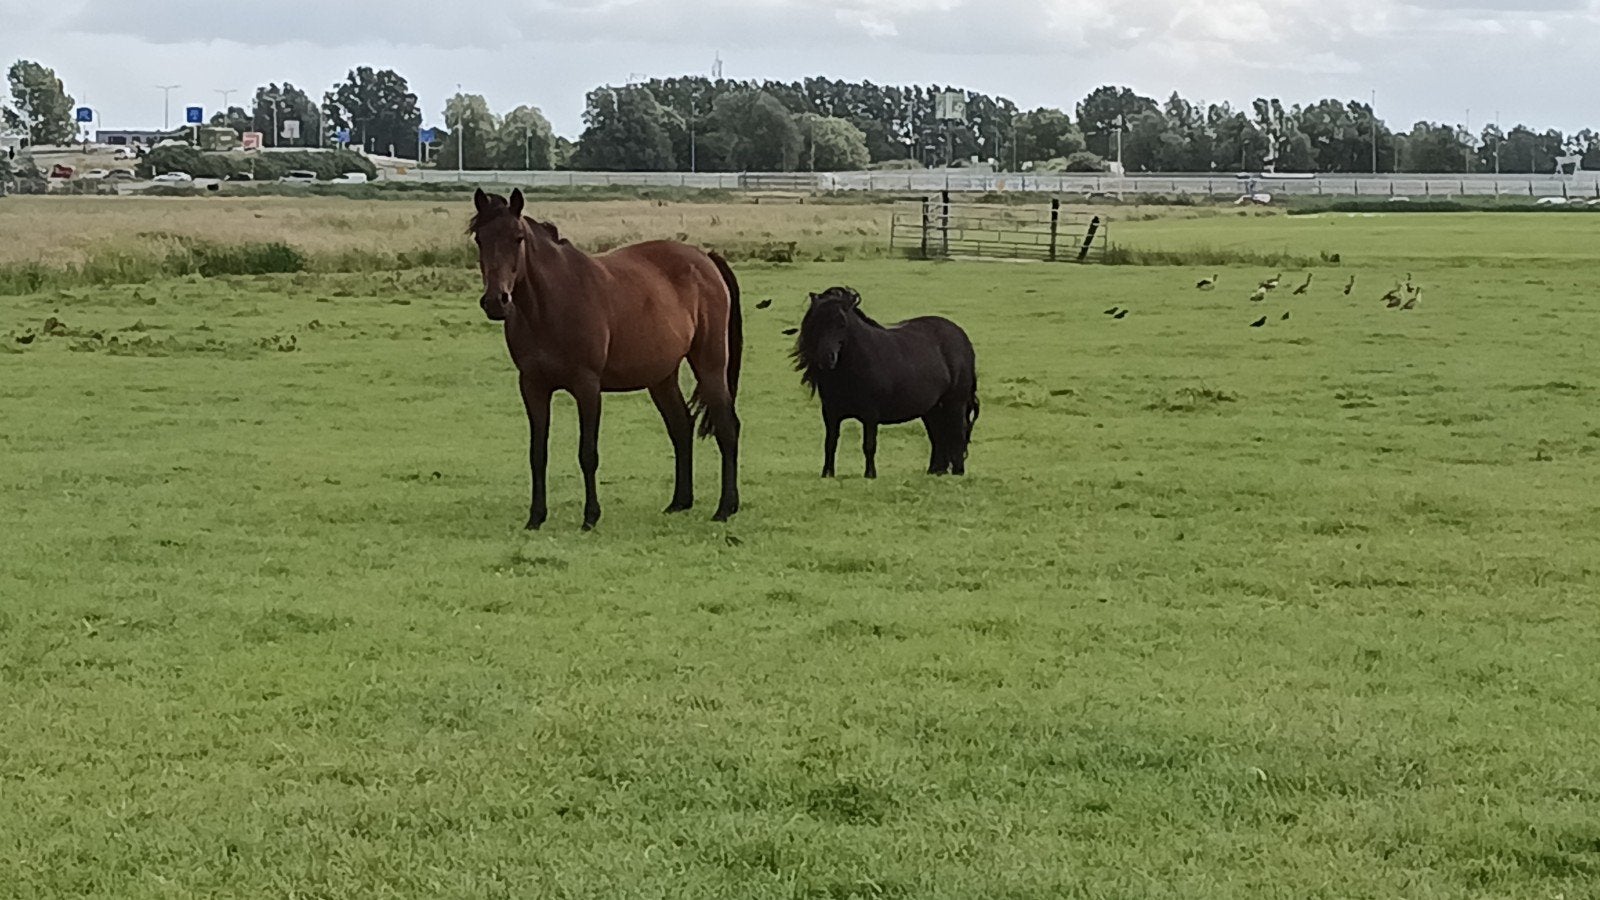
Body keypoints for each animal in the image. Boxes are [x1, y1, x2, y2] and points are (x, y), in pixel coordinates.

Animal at [468, 188, 742, 530]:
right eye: (480, 239)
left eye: (517, 237)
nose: (496, 301)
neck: (551, 304)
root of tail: (705, 259)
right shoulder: (532, 387)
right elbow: (537, 454)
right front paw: (536, 517)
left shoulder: (587, 386)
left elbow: (588, 453)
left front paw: (590, 516)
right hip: (661, 377)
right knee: (681, 426)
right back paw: (680, 502)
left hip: (710, 364)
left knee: (727, 427)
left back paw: (725, 508)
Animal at [791, 286, 978, 479]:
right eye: (816, 323)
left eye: (842, 323)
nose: (827, 358)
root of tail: (961, 337)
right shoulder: (830, 412)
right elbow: (830, 443)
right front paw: (827, 473)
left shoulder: (870, 414)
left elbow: (869, 445)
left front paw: (870, 474)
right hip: (932, 409)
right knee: (938, 436)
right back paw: (935, 471)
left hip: (955, 402)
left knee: (957, 433)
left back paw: (958, 472)